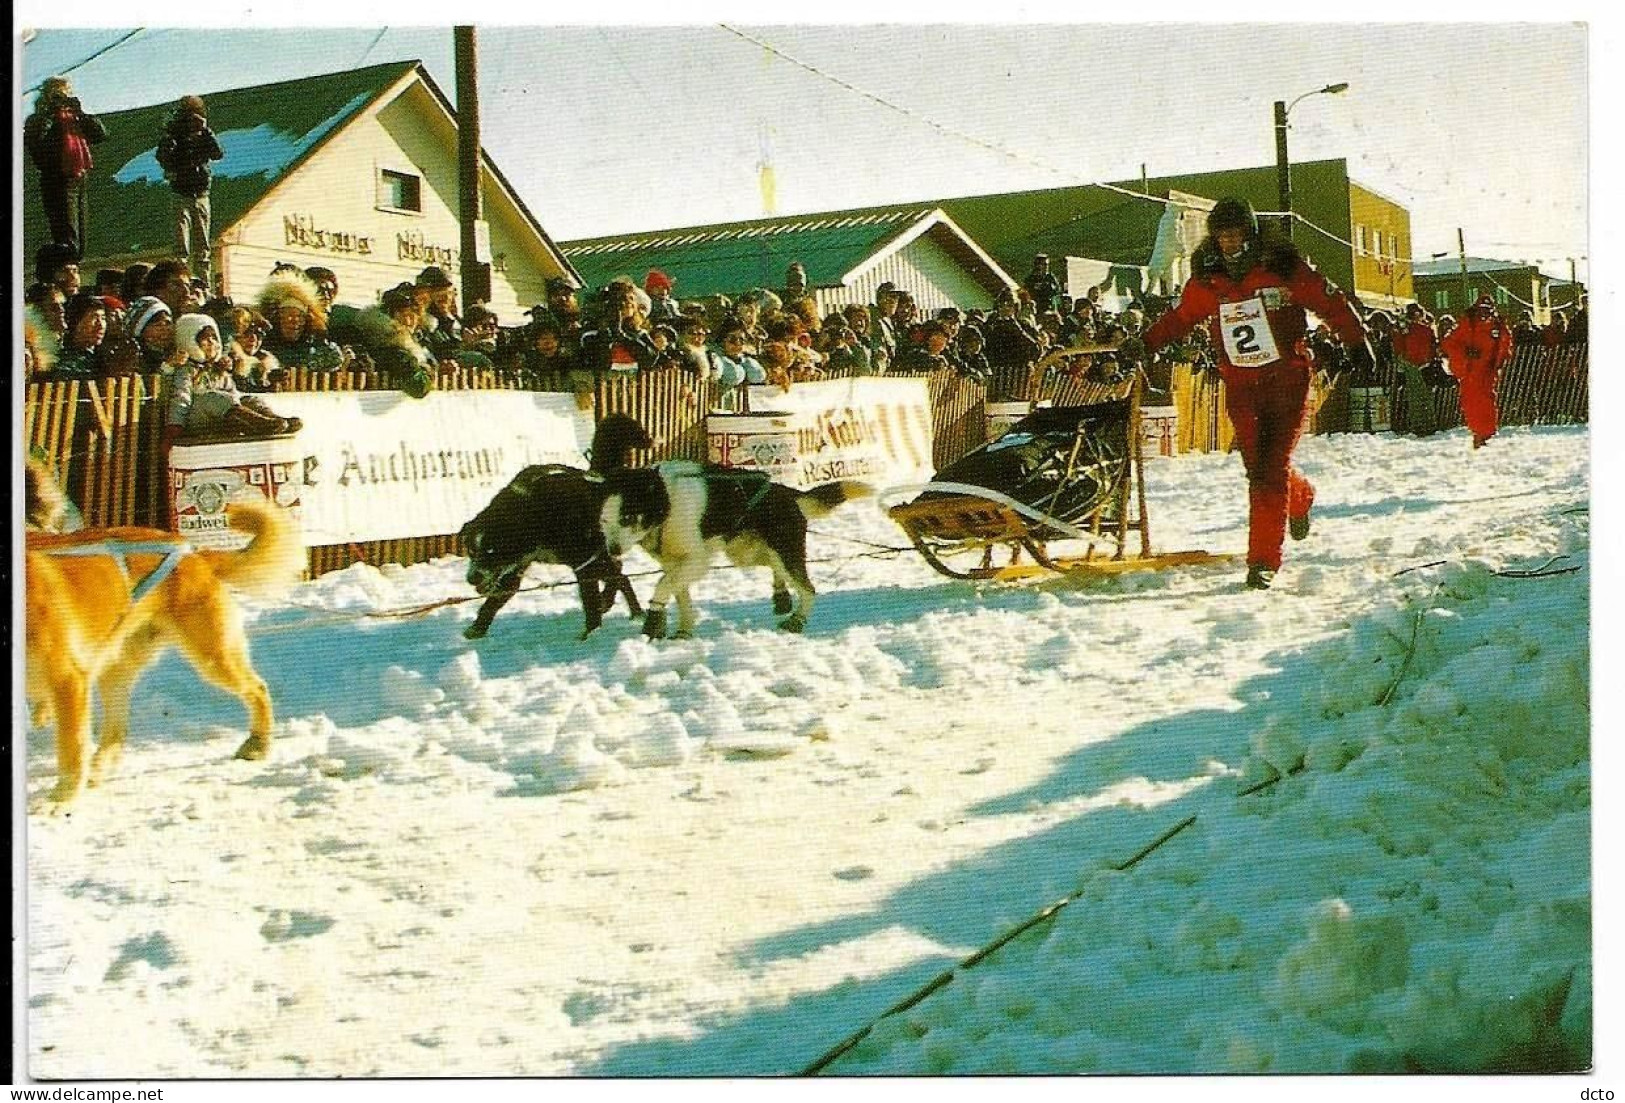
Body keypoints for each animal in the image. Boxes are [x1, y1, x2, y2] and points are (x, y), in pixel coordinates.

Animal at [27, 503, 305, 805]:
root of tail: (194, 554)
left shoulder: (68, 680)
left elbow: (72, 749)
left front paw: (60, 800)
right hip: (114, 671)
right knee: (117, 729)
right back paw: (99, 768)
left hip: (214, 658)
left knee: (258, 688)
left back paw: (258, 744)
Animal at [461, 412, 650, 640]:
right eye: (472, 550)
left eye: (491, 550)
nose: (472, 578)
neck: (533, 511)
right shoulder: (515, 567)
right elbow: (495, 599)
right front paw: (478, 628)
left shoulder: (583, 563)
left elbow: (591, 603)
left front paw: (589, 636)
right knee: (619, 574)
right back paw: (623, 607)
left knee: (618, 574)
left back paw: (625, 609)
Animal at [601, 461, 877, 640]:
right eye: (604, 521)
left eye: (626, 518)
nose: (612, 550)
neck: (666, 502)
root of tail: (787, 493)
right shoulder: (674, 563)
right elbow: (679, 594)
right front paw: (683, 629)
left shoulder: (696, 561)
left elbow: (662, 584)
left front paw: (655, 618)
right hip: (747, 554)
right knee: (776, 568)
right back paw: (781, 595)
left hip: (781, 552)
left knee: (808, 588)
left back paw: (797, 619)